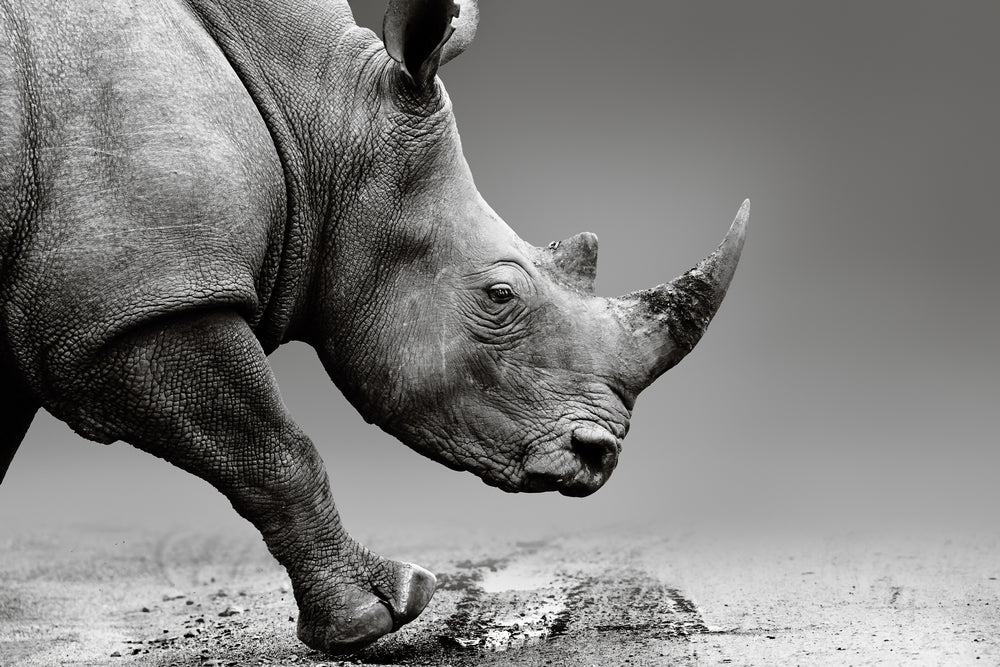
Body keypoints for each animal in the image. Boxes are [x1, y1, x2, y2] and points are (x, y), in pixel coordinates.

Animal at [0, 0, 747, 654]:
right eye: (500, 294)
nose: (600, 456)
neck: (318, 114)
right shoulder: (140, 303)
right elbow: (273, 451)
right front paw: (382, 613)